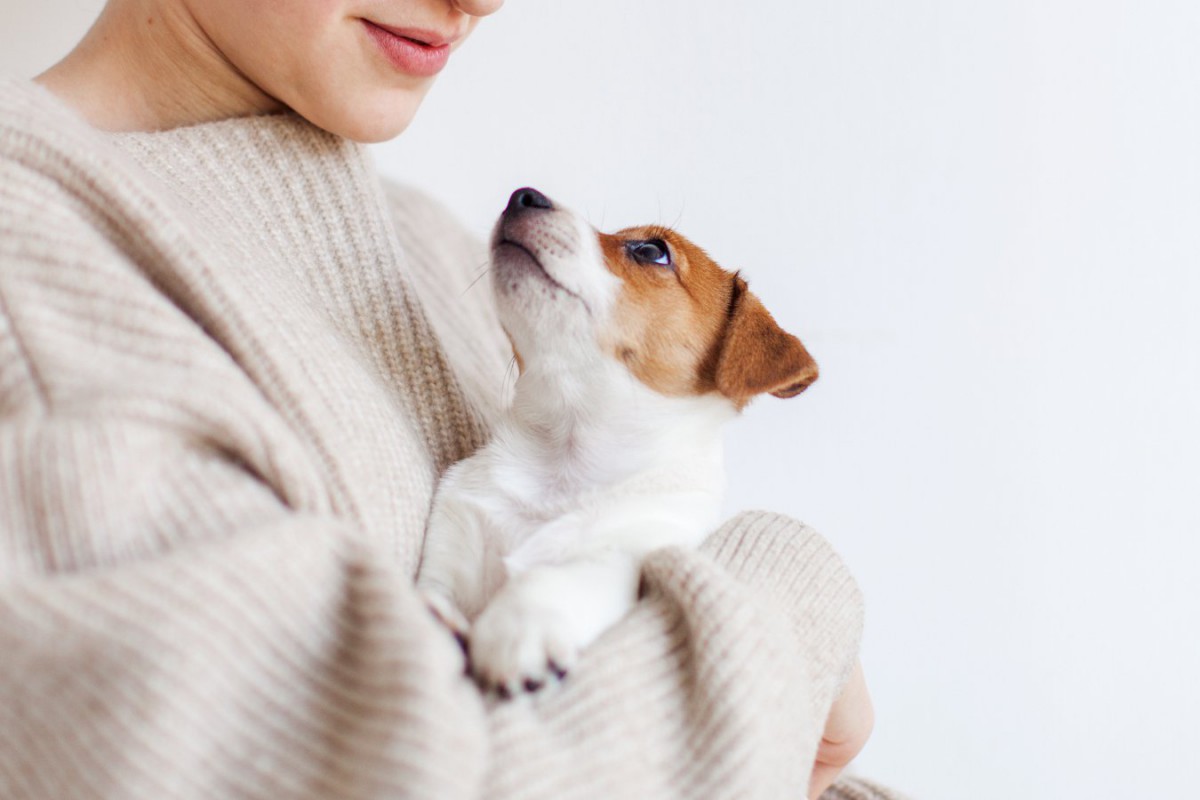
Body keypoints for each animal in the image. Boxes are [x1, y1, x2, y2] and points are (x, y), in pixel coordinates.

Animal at [412, 188, 816, 695]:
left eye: (651, 251)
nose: (523, 195)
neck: (565, 460)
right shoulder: (455, 536)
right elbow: (435, 586)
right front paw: (433, 614)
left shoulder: (635, 552)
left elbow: (558, 575)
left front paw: (519, 622)